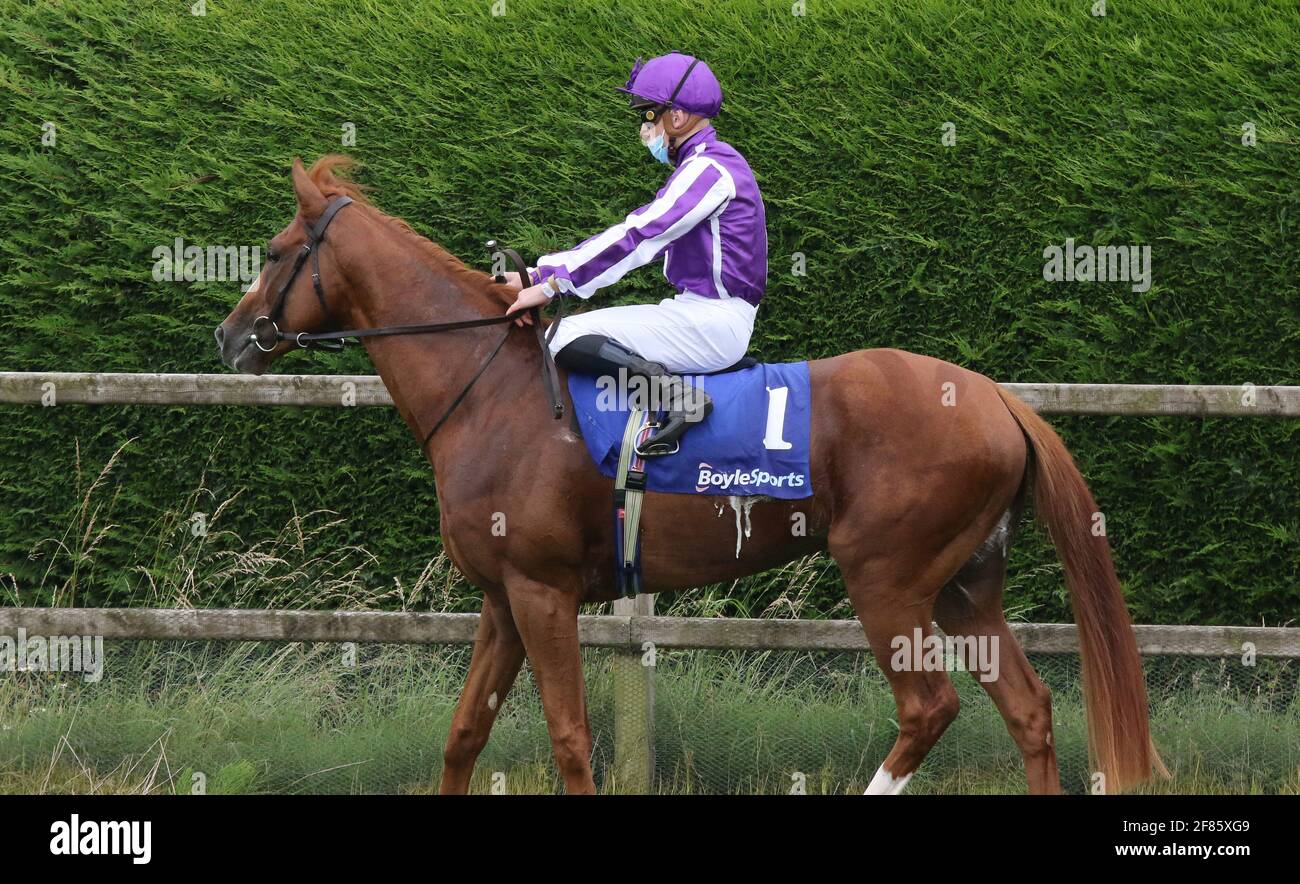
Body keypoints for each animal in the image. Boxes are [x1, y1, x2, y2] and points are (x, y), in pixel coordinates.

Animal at [218, 157, 1164, 795]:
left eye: (274, 250)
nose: (229, 338)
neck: (490, 390)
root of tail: (996, 397)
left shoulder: (541, 593)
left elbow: (569, 737)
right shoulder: (501, 599)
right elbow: (462, 735)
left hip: (888, 579)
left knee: (928, 707)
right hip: (966, 585)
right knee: (1029, 708)